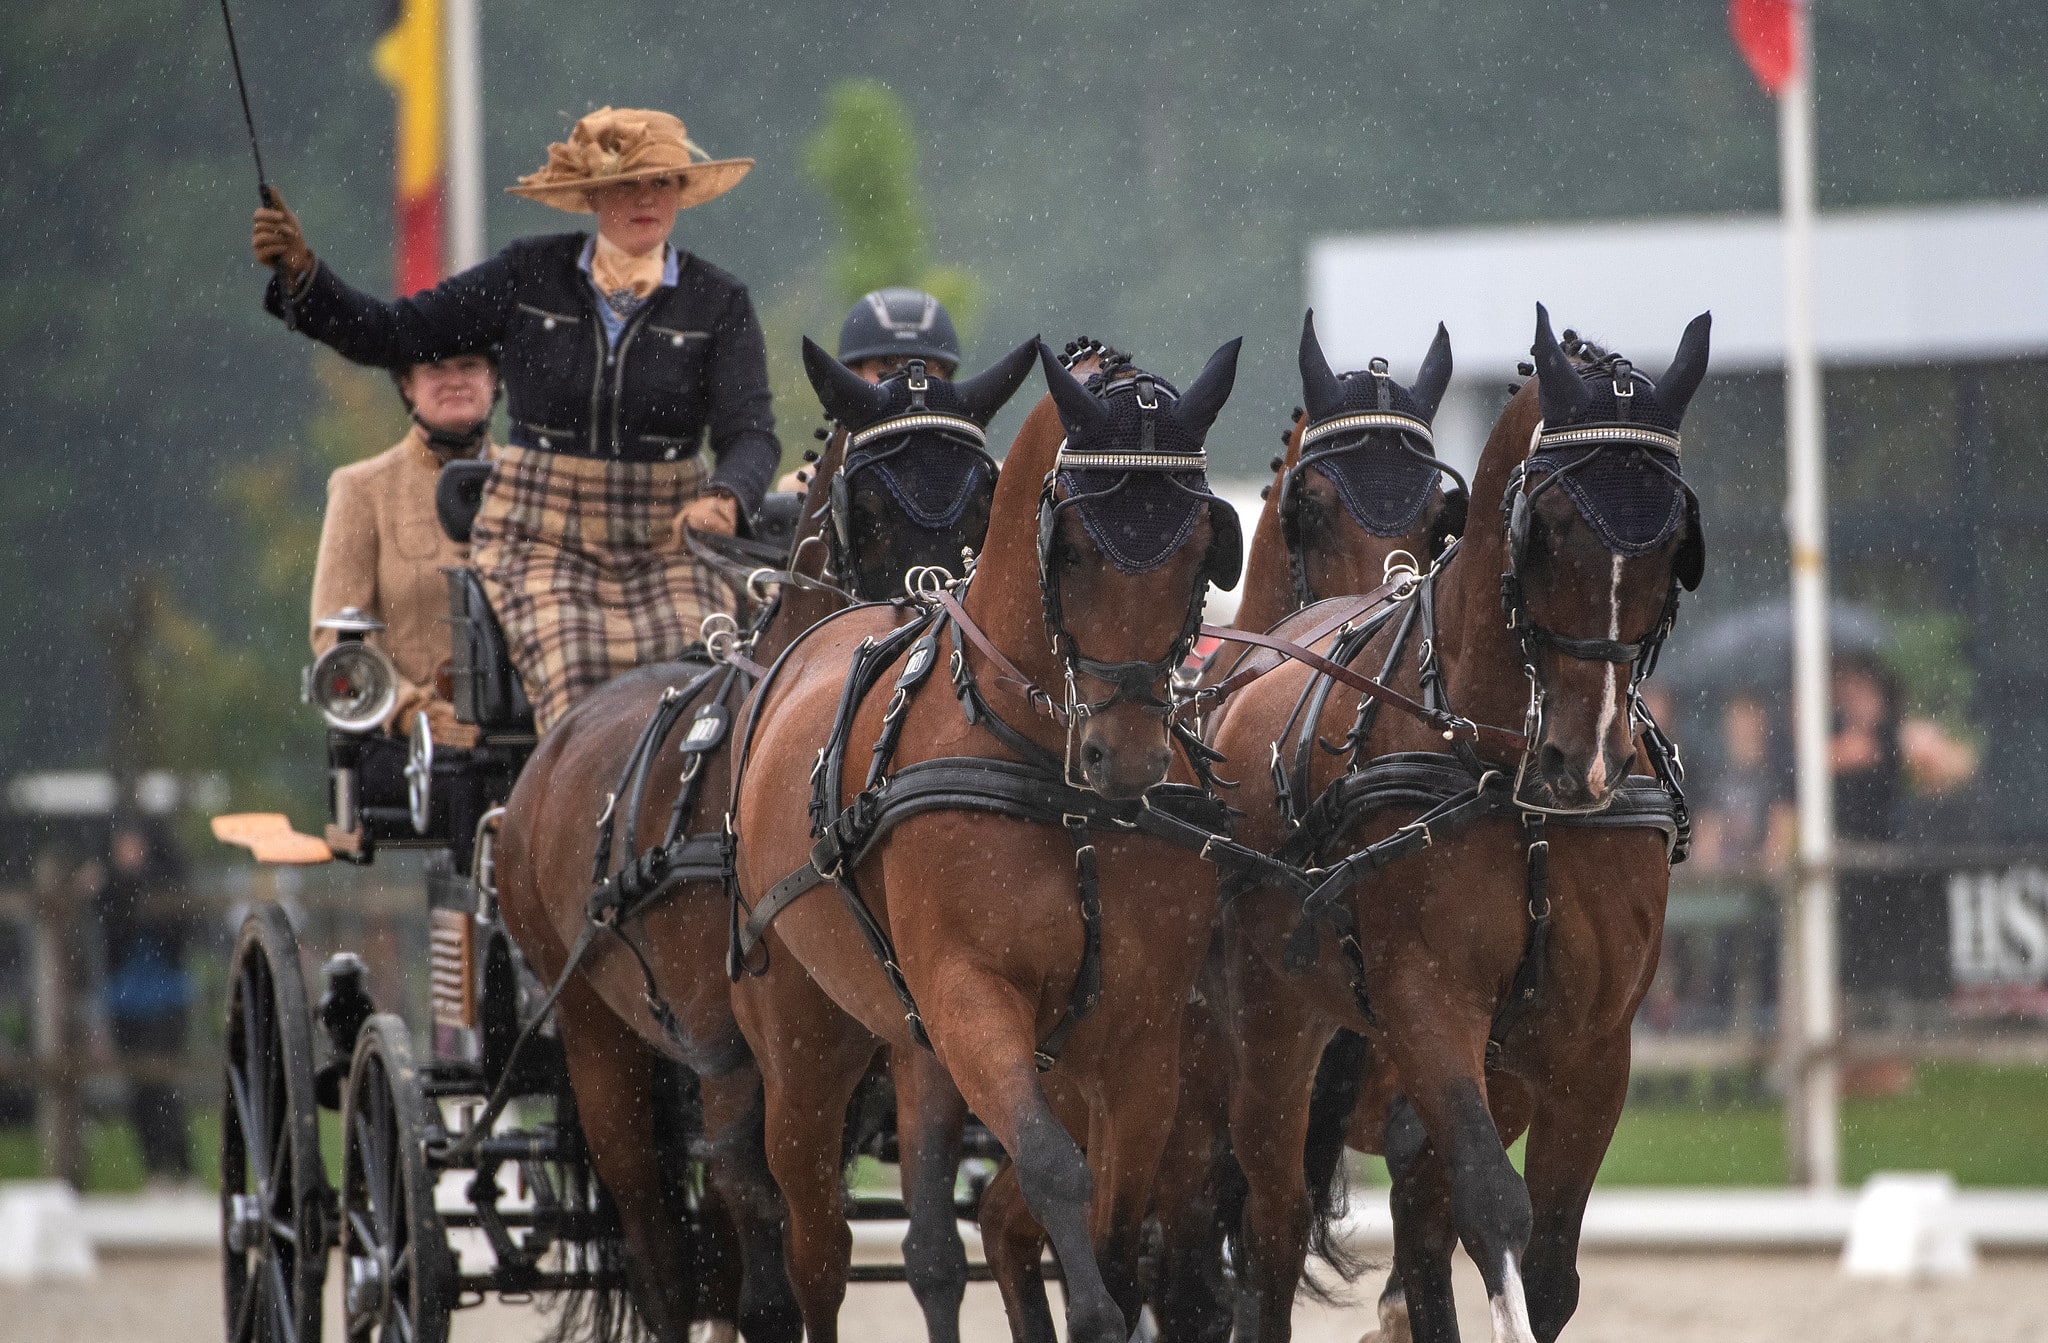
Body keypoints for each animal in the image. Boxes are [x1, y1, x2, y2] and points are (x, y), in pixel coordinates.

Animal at [493, 329, 1040, 1334]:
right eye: (868, 502)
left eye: (988, 493)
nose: (932, 630)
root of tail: (546, 756)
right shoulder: (741, 1064)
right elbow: (774, 1255)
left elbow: (930, 1240)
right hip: (600, 1044)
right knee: (659, 1251)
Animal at [737, 337, 1245, 1342]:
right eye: (1073, 549)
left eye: (1200, 550)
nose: (1126, 755)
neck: (1057, 786)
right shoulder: (972, 997)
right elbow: (1052, 1169)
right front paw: (1089, 1308)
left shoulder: (1141, 1038)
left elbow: (1116, 1234)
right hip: (804, 1045)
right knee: (816, 1245)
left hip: (920, 1040)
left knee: (936, 1245)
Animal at [1204, 307, 1703, 1342]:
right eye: (1549, 524)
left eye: (1676, 540)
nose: (1587, 763)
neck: (1510, 773)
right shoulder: (1427, 999)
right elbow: (1492, 1206)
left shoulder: (1593, 1044)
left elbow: (1545, 1266)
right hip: (1267, 1037)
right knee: (1268, 1234)